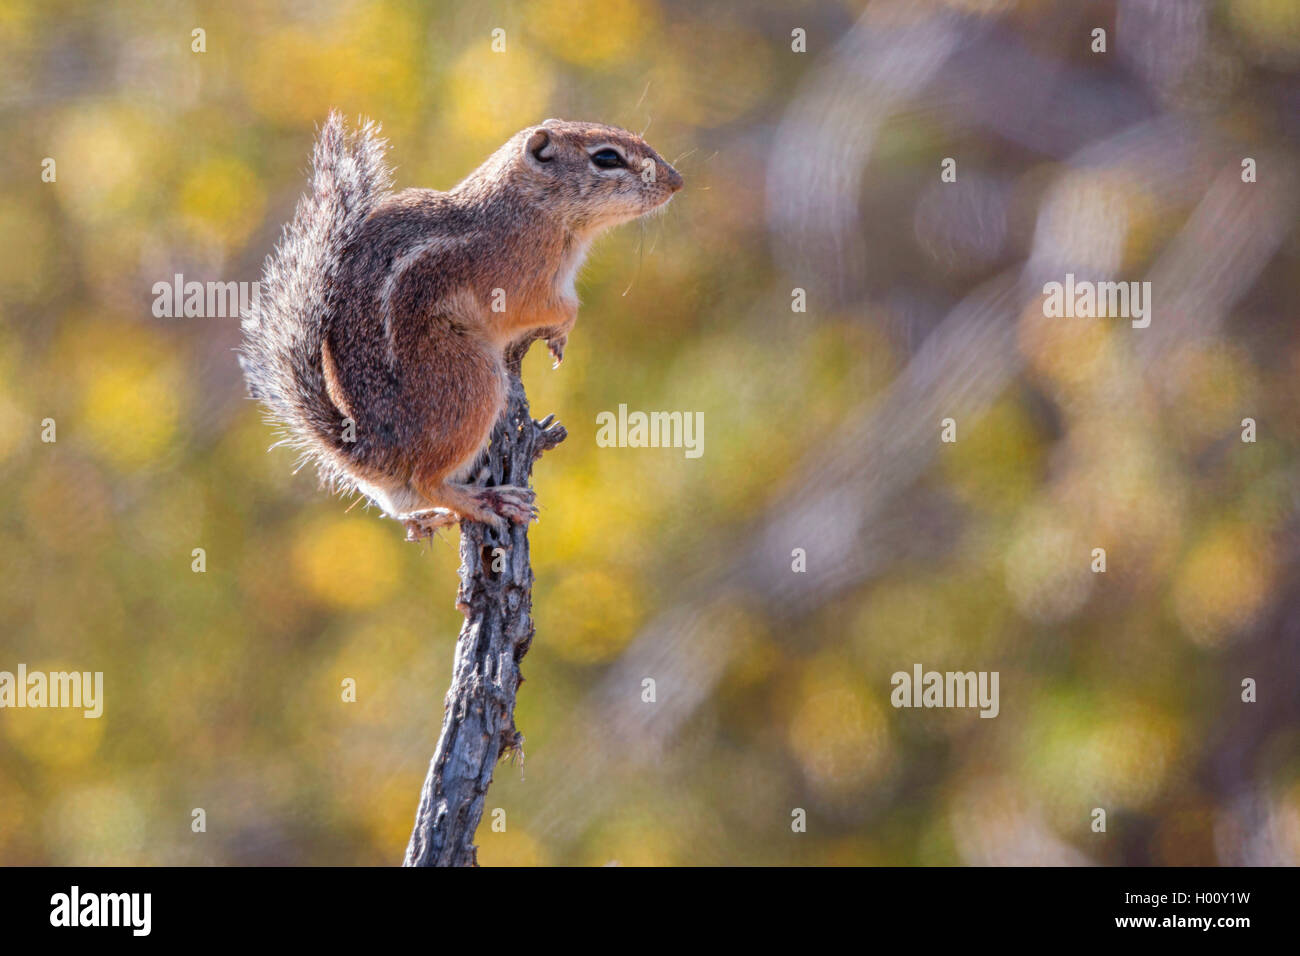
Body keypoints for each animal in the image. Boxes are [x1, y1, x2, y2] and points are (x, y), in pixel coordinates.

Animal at [239, 111, 681, 538]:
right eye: (606, 158)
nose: (676, 181)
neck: (530, 204)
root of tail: (373, 452)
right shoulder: (521, 283)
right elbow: (554, 308)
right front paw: (562, 330)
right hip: (471, 379)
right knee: (426, 479)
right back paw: (485, 503)